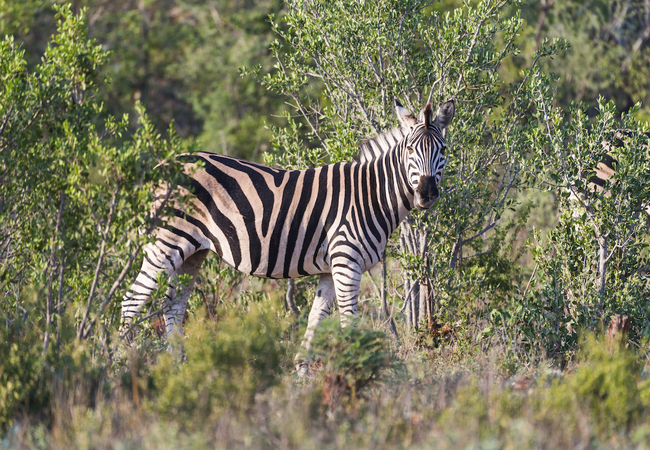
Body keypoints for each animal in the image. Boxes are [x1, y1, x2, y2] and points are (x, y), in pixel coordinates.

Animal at [119, 98, 454, 366]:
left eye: (443, 149)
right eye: (409, 149)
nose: (426, 193)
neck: (371, 195)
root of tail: (167, 163)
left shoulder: (330, 269)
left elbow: (314, 322)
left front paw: (301, 379)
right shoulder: (347, 262)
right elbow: (349, 324)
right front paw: (351, 382)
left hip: (194, 250)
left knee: (173, 307)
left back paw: (179, 368)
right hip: (165, 241)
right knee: (132, 301)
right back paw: (121, 366)